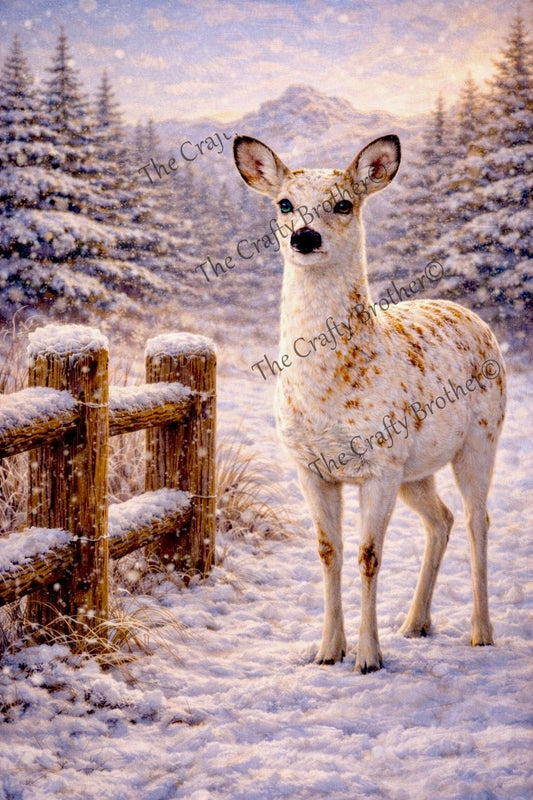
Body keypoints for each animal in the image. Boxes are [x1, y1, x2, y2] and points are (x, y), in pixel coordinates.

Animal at [233, 133, 506, 673]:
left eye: (344, 203)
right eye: (284, 203)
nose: (305, 238)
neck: (329, 393)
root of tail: (469, 313)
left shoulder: (379, 464)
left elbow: (368, 555)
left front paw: (368, 657)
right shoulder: (311, 467)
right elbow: (328, 551)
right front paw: (327, 651)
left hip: (480, 439)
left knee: (476, 520)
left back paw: (481, 632)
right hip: (417, 468)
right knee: (440, 519)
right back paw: (416, 623)